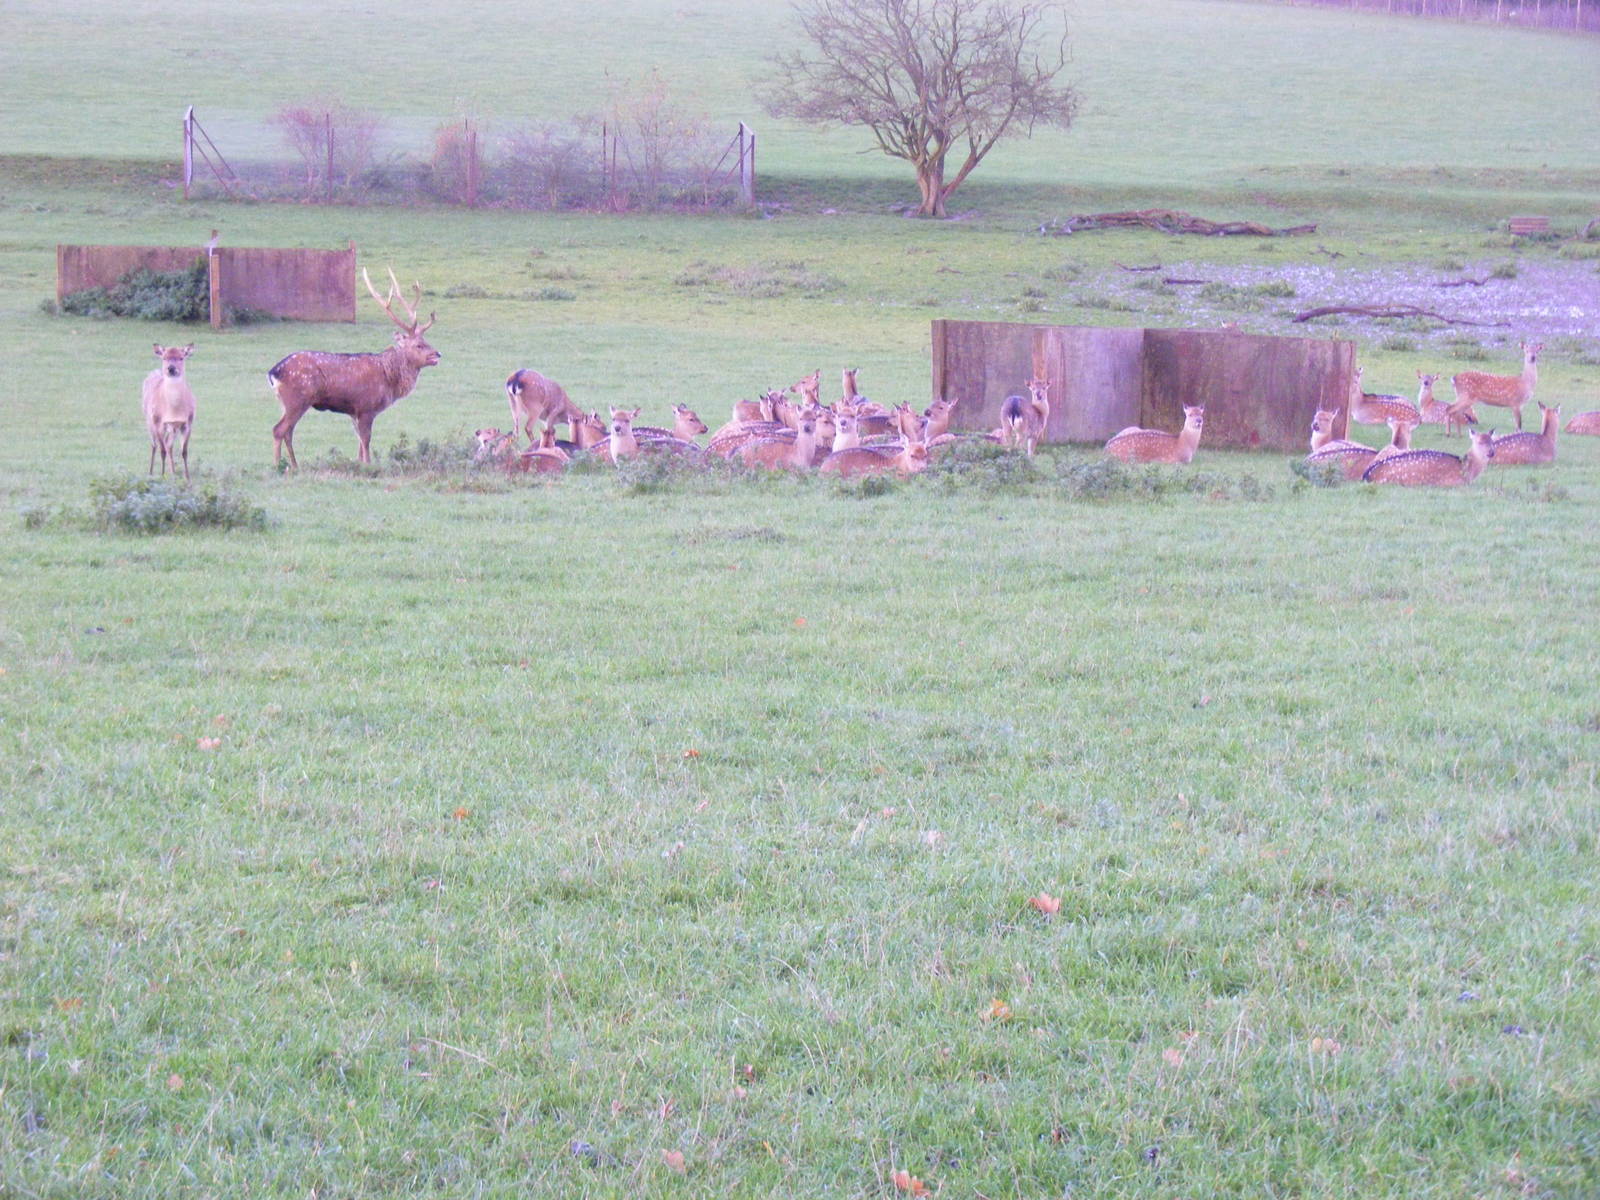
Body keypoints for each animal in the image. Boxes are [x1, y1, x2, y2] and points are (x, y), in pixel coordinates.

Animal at [142, 343, 196, 481]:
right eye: (165, 357)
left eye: (181, 357)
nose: (171, 368)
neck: (173, 411)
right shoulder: (158, 422)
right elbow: (162, 451)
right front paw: (162, 476)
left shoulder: (188, 422)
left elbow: (184, 451)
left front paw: (187, 478)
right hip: (148, 420)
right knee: (154, 445)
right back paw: (151, 473)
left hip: (173, 428)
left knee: (169, 444)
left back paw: (173, 472)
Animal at [268, 268, 439, 468]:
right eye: (419, 345)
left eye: (426, 341)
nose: (438, 354)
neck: (389, 377)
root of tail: (273, 372)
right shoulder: (366, 406)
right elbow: (366, 440)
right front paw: (369, 466)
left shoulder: (354, 411)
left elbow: (358, 442)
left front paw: (359, 463)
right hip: (297, 399)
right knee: (279, 430)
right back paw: (278, 466)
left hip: (287, 403)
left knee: (288, 431)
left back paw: (294, 466)